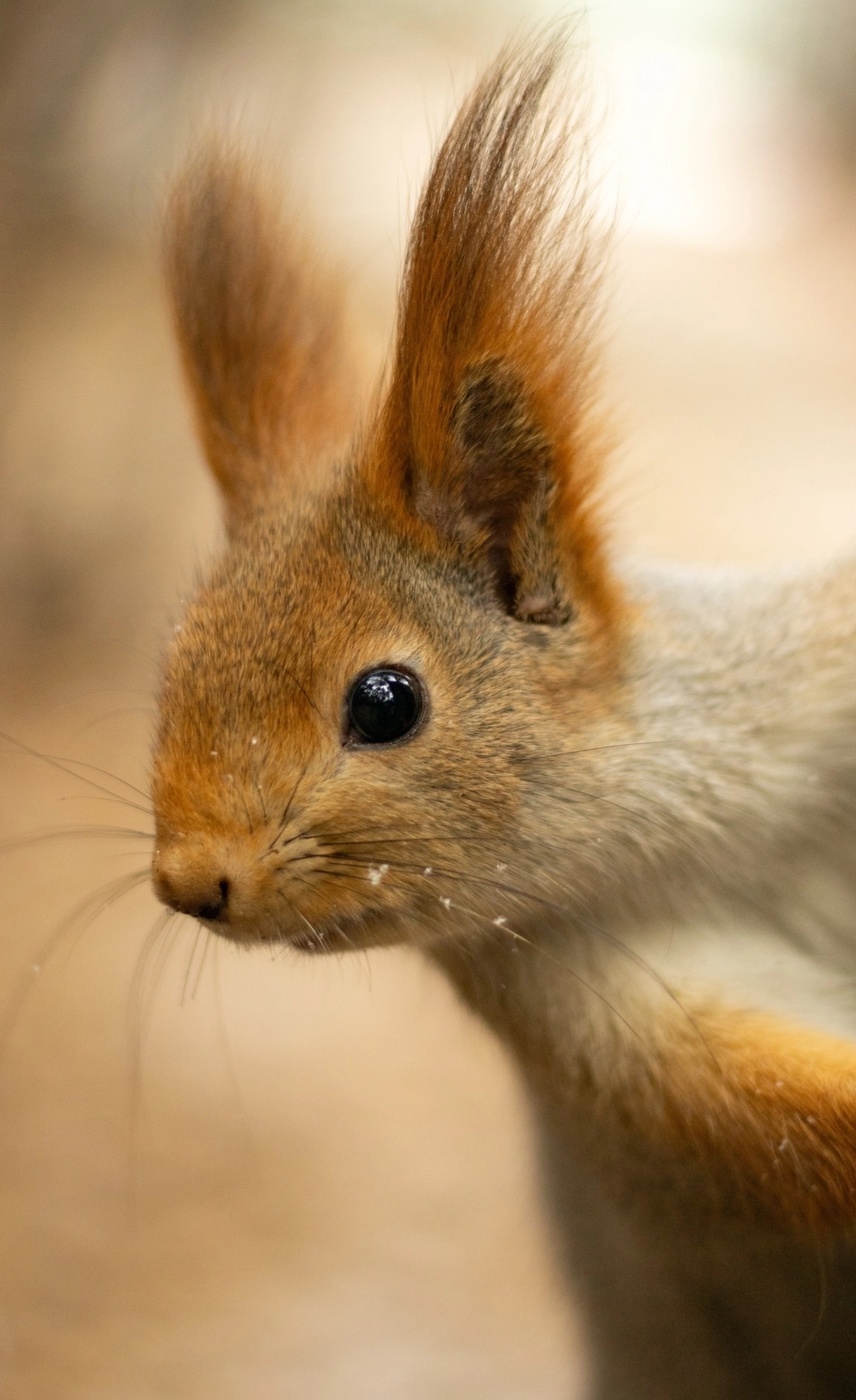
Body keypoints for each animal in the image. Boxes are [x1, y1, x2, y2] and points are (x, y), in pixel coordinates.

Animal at [151, 36, 856, 1400]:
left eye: (386, 701)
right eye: (168, 668)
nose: (189, 880)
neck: (689, 839)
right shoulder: (631, 1052)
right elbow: (802, 1130)